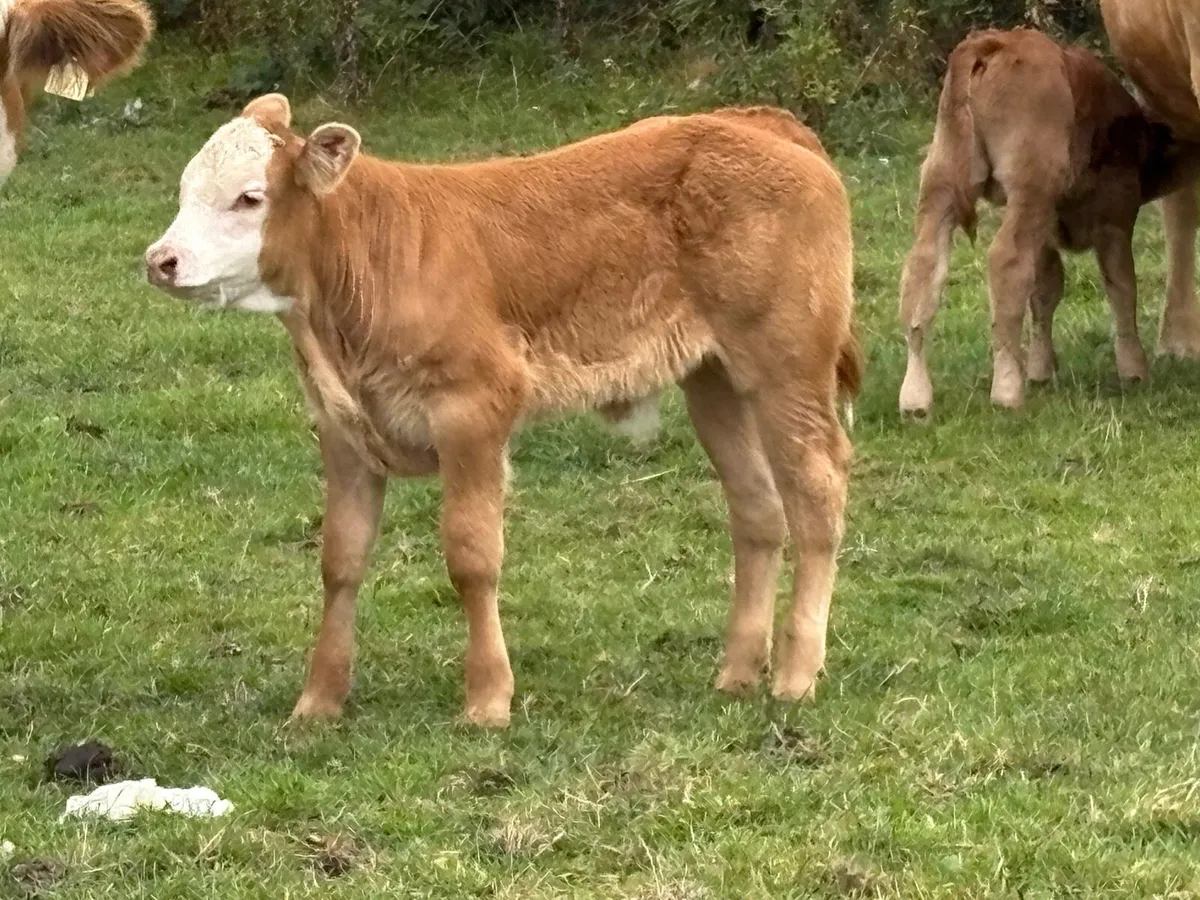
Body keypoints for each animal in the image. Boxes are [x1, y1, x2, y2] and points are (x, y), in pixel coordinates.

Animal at [143, 94, 862, 727]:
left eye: (249, 197)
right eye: (184, 190)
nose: (161, 260)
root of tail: (755, 121)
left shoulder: (474, 411)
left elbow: (471, 555)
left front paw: (488, 699)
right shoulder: (342, 429)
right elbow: (340, 560)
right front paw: (318, 701)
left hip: (787, 367)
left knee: (815, 492)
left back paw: (797, 673)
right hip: (714, 379)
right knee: (758, 509)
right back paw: (738, 672)